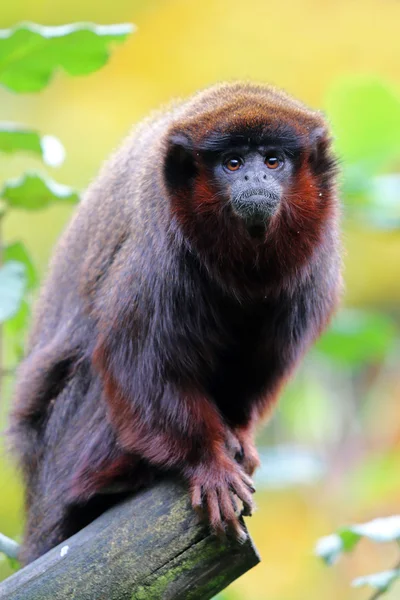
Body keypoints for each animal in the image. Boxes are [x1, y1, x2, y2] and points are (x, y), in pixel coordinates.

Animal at [9, 82, 340, 564]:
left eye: (272, 161)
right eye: (233, 163)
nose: (254, 180)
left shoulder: (315, 266)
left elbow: (259, 362)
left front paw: (238, 437)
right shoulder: (159, 248)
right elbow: (136, 362)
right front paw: (209, 463)